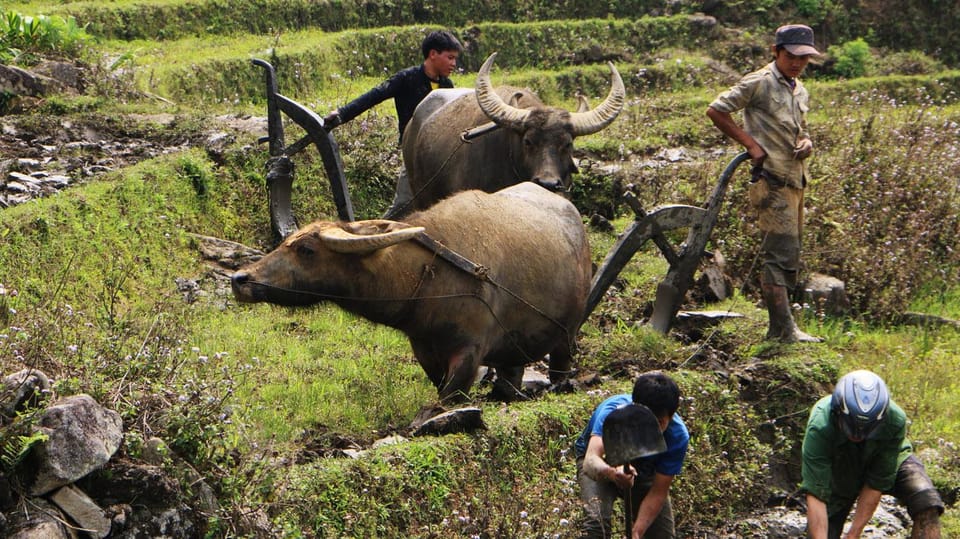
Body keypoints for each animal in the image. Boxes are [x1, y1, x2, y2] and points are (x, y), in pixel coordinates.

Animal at [232, 185, 592, 426]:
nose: (241, 279)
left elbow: (451, 395)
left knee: (560, 363)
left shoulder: (470, 349)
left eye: (306, 250)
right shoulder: (423, 346)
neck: (430, 272)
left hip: (566, 336)